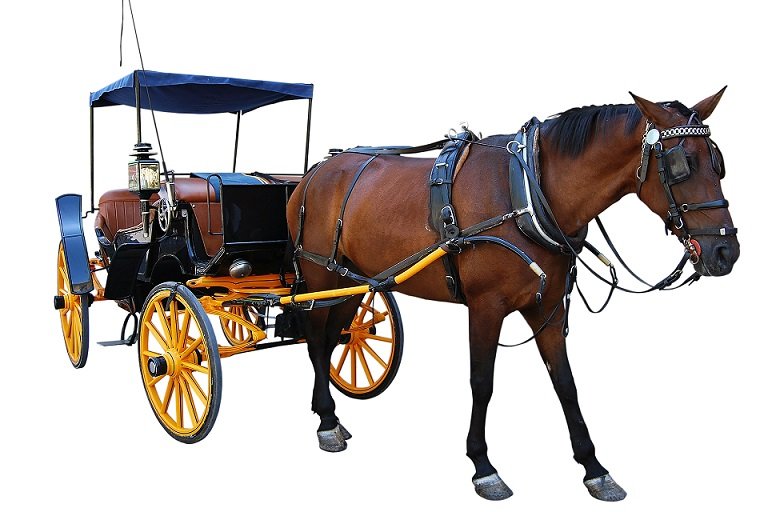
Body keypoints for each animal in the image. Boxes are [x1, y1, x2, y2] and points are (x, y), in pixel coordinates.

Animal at [285, 89, 739, 501]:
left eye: (717, 162)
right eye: (681, 165)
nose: (726, 251)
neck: (528, 193)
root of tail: (315, 172)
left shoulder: (548, 309)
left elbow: (566, 383)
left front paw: (594, 468)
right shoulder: (486, 308)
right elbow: (481, 382)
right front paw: (483, 467)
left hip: (354, 281)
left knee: (335, 339)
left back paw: (331, 414)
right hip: (320, 274)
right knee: (315, 341)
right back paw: (326, 422)